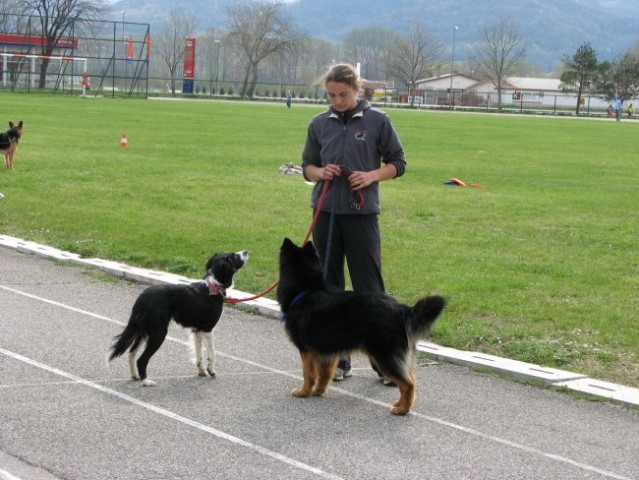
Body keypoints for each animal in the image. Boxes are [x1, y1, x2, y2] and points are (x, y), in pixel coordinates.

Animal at [109, 251, 249, 386]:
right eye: (234, 256)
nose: (246, 251)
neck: (214, 286)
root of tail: (143, 298)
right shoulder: (207, 329)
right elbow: (212, 353)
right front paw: (211, 371)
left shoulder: (197, 330)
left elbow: (199, 354)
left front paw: (202, 372)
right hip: (158, 333)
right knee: (141, 359)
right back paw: (146, 381)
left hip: (143, 331)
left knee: (131, 353)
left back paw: (135, 376)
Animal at [278, 238, 448, 414]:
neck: (306, 290)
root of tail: (402, 310)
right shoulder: (327, 352)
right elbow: (324, 374)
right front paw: (318, 391)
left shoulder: (306, 350)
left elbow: (308, 374)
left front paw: (303, 392)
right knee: (410, 377)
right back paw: (400, 404)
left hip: (383, 357)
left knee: (408, 383)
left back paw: (402, 410)